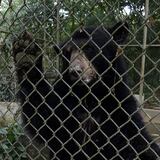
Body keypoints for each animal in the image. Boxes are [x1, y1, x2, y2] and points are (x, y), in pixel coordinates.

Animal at [12, 21, 160, 159]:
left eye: (89, 48)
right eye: (67, 52)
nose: (74, 71)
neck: (89, 93)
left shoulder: (119, 104)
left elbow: (133, 141)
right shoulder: (64, 98)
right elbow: (44, 118)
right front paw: (26, 53)